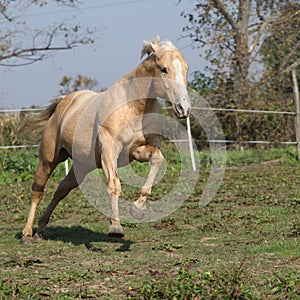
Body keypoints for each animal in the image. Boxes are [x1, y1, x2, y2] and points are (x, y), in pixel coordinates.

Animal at [20, 37, 190, 244]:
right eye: (164, 69)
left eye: (186, 68)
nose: (184, 108)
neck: (133, 106)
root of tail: (64, 103)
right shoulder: (110, 151)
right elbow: (114, 185)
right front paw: (115, 227)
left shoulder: (139, 149)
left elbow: (157, 160)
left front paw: (138, 207)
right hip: (49, 159)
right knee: (37, 190)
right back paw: (27, 234)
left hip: (81, 166)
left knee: (61, 190)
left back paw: (41, 230)